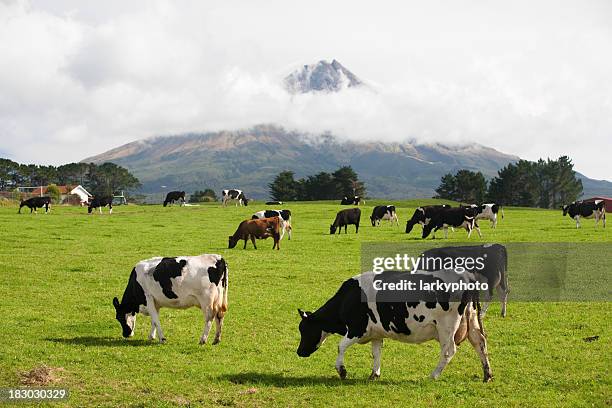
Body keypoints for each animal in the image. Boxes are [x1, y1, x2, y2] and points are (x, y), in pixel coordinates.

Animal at [296, 270, 492, 382]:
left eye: (304, 330)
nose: (299, 352)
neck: (348, 298)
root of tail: (468, 276)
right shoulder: (375, 333)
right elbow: (376, 353)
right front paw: (374, 374)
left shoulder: (357, 329)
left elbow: (340, 346)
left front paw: (342, 371)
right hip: (471, 320)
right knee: (480, 344)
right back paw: (487, 375)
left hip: (446, 327)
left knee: (448, 351)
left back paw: (434, 375)